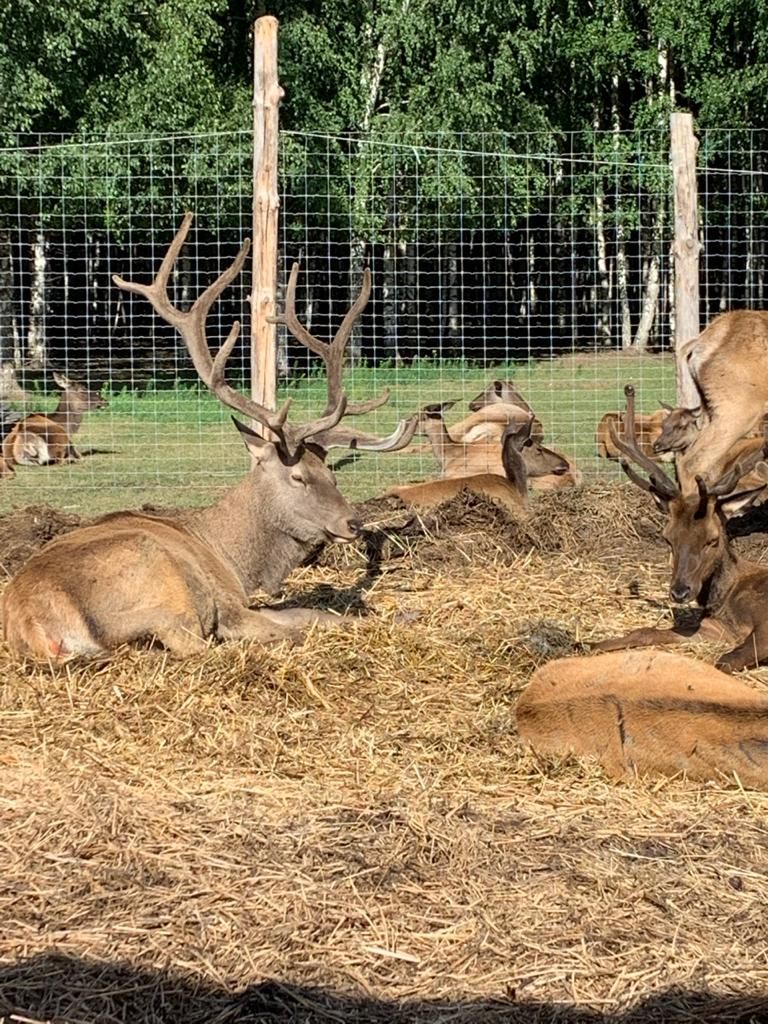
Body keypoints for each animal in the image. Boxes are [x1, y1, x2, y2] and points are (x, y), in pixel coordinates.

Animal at [1, 216, 415, 663]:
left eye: (332, 475)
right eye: (298, 477)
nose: (353, 522)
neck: (233, 558)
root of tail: (35, 626)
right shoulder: (228, 599)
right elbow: (307, 616)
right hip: (163, 588)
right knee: (204, 641)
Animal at [593, 385, 768, 671]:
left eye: (712, 540)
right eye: (668, 539)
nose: (679, 592)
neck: (726, 601)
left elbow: (726, 661)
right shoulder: (713, 627)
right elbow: (646, 631)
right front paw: (589, 644)